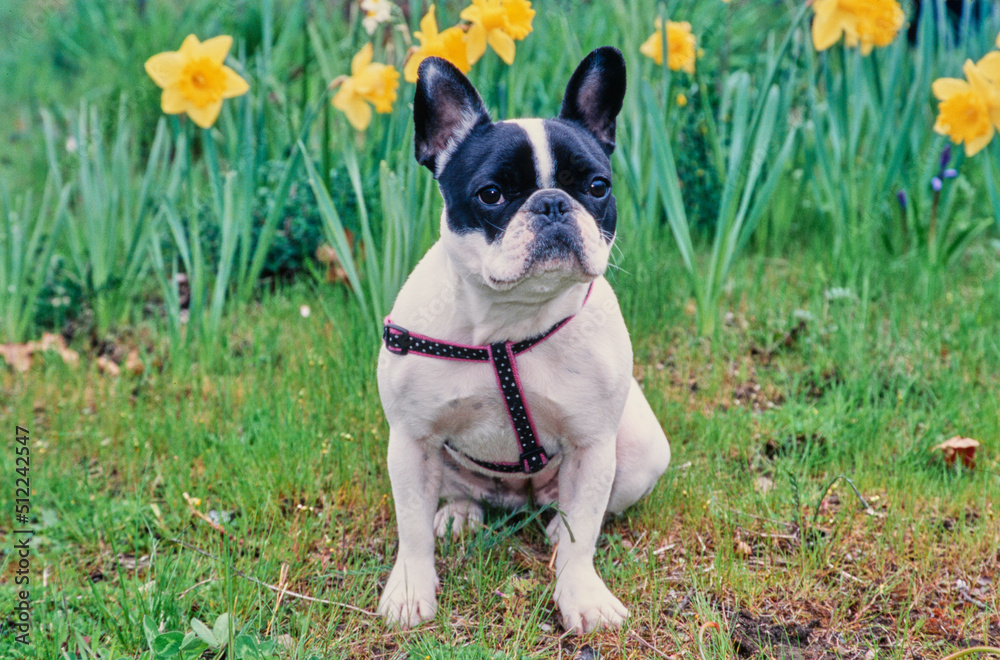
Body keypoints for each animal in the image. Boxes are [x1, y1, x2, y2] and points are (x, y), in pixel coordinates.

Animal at [376, 46, 672, 636]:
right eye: (491, 195)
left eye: (597, 187)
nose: (553, 203)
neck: (506, 324)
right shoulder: (411, 441)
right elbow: (411, 527)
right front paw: (411, 589)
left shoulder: (592, 444)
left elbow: (584, 534)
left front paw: (582, 596)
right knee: (457, 492)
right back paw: (460, 514)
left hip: (642, 448)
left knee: (583, 511)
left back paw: (556, 525)